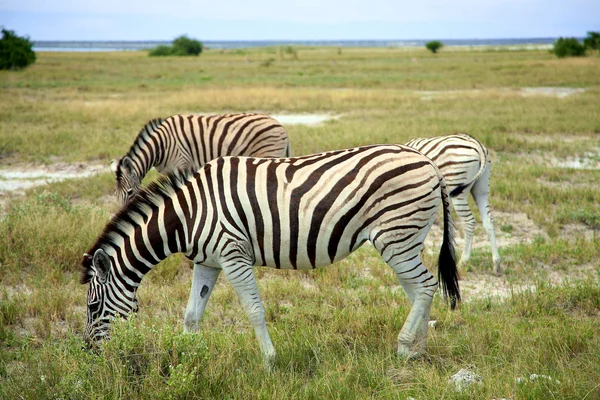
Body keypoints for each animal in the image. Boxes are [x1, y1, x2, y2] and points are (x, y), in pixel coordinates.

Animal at [82, 144, 462, 368]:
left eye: (92, 307)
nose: (88, 353)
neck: (189, 215)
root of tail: (429, 162)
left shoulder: (233, 254)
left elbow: (254, 311)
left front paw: (268, 362)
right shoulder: (207, 261)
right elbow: (191, 315)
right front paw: (185, 359)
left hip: (395, 236)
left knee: (425, 286)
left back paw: (403, 348)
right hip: (407, 237)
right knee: (419, 290)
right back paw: (417, 351)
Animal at [112, 113, 292, 205]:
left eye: (130, 192)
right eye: (115, 194)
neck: (161, 146)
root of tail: (280, 125)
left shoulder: (181, 164)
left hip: (269, 154)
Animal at [408, 134, 502, 276]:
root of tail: (477, 144)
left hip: (457, 188)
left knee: (469, 222)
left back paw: (463, 262)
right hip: (481, 190)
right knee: (489, 221)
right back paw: (496, 264)